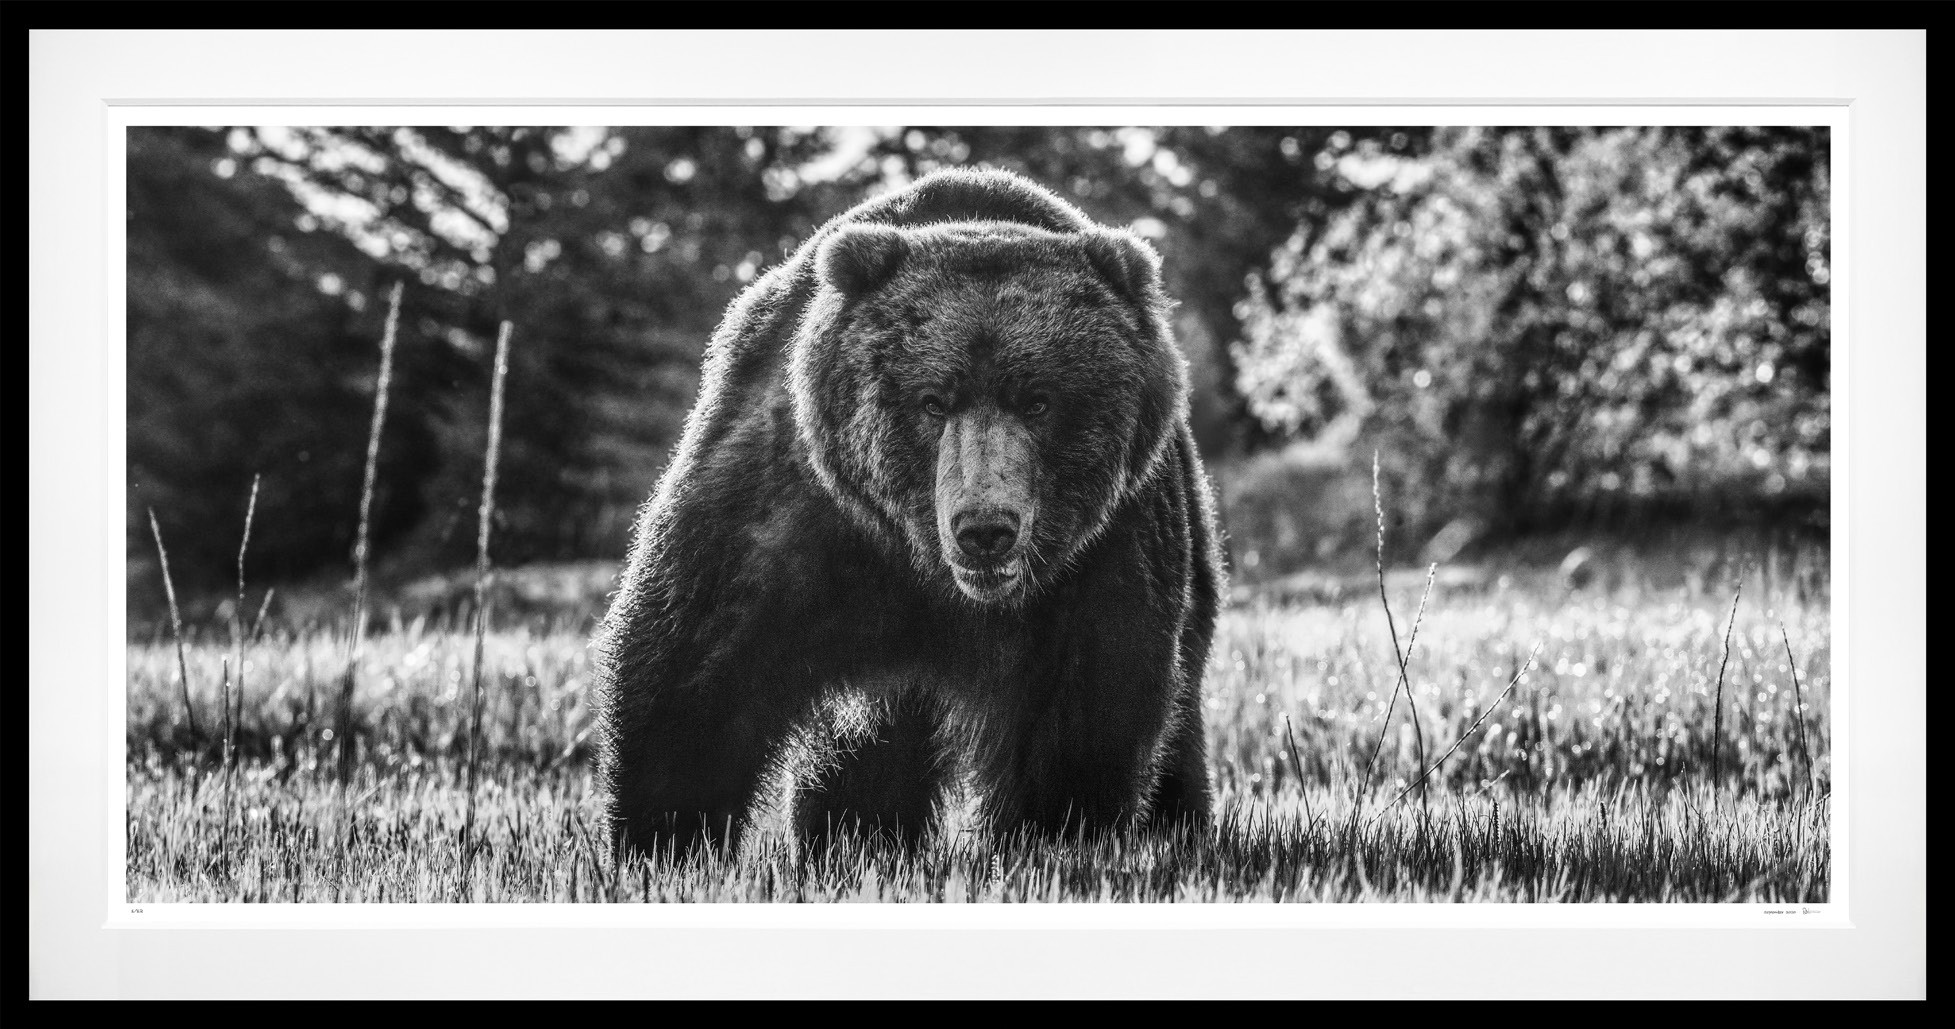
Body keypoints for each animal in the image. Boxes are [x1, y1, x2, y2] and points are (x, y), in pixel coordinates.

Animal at [593, 167, 1226, 861]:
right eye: (933, 400)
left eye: (1038, 401)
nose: (985, 530)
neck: (928, 571)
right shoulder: (791, 510)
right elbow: (695, 670)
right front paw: (664, 845)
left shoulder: (1103, 551)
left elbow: (1082, 720)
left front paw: (1048, 845)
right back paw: (855, 842)